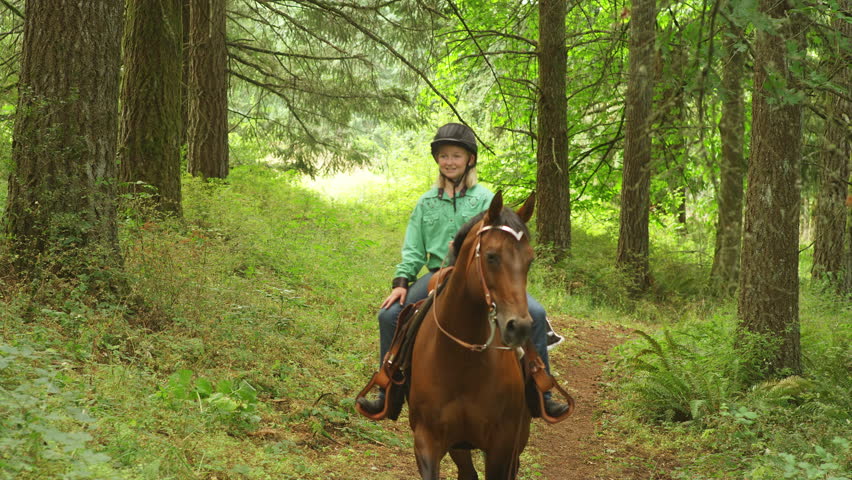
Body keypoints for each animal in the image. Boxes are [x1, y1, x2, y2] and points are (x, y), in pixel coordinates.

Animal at [410, 191, 536, 480]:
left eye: (530, 260)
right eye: (491, 256)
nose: (520, 327)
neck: (462, 362)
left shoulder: (503, 446)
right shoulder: (427, 439)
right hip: (459, 445)